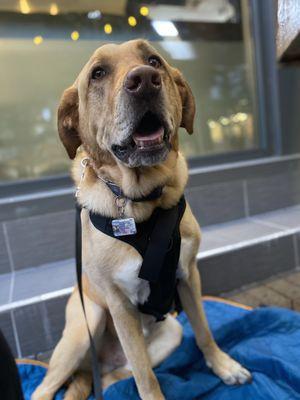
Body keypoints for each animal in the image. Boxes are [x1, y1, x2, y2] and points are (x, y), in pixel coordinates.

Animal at [32, 38, 252, 400]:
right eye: (98, 73)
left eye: (153, 60)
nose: (145, 80)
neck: (142, 202)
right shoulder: (120, 305)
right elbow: (145, 376)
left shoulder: (188, 276)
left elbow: (204, 331)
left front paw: (223, 365)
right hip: (85, 325)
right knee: (46, 387)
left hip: (171, 332)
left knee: (110, 380)